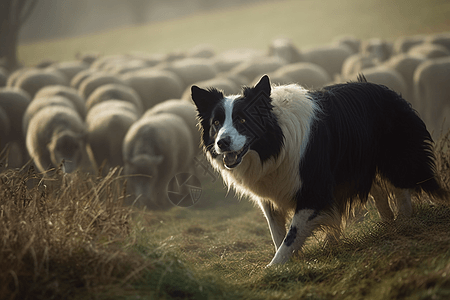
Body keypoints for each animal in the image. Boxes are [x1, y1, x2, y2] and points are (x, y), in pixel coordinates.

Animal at [191, 74, 446, 264]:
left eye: (243, 120)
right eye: (216, 123)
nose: (222, 143)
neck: (276, 145)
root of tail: (386, 89)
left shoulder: (314, 189)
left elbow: (291, 236)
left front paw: (274, 268)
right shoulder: (270, 199)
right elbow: (278, 235)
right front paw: (291, 264)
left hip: (397, 158)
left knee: (403, 189)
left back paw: (404, 224)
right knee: (380, 192)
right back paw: (386, 226)